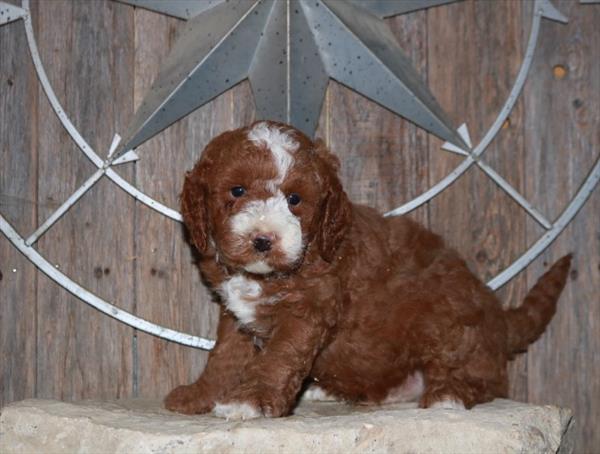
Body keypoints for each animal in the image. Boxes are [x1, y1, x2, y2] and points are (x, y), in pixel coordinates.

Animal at [164, 119, 572, 418]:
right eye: (237, 191)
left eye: (295, 199)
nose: (263, 239)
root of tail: (499, 318)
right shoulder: (237, 317)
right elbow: (225, 357)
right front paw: (201, 395)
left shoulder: (309, 311)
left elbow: (278, 358)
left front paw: (251, 400)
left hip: (446, 314)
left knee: (483, 379)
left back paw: (449, 394)